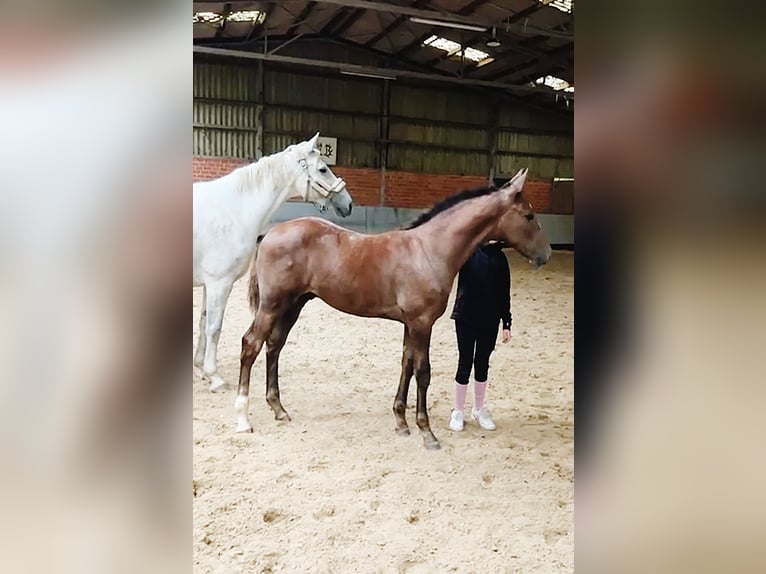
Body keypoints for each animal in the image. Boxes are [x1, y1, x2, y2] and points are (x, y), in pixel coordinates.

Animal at [194, 134, 352, 392]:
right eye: (323, 169)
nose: (347, 203)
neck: (233, 209)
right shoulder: (220, 282)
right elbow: (214, 327)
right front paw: (214, 377)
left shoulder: (210, 284)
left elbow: (203, 322)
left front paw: (201, 367)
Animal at [236, 169, 552, 452]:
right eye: (529, 216)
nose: (546, 254)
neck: (429, 250)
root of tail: (271, 233)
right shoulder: (422, 323)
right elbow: (423, 372)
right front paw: (427, 432)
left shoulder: (410, 324)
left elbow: (406, 365)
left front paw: (401, 422)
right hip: (272, 305)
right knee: (251, 344)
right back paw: (243, 419)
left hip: (294, 305)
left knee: (274, 346)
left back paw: (279, 409)